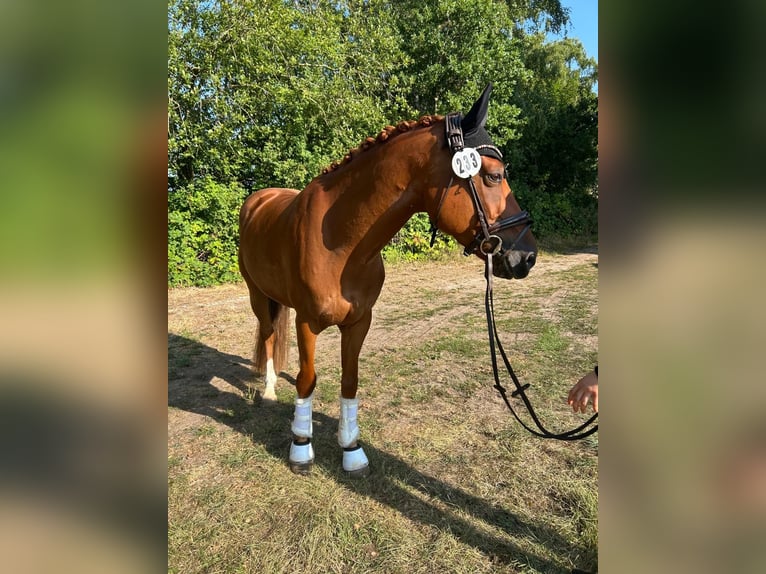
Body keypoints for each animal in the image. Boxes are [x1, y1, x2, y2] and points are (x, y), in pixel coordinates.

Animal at [238, 84, 537, 476]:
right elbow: (308, 379)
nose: (528, 256)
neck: (341, 244)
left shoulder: (359, 322)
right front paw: (301, 448)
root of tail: (259, 199)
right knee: (269, 334)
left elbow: (349, 381)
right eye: (493, 176)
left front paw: (352, 450)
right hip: (258, 296)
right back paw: (271, 390)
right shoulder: (308, 322)